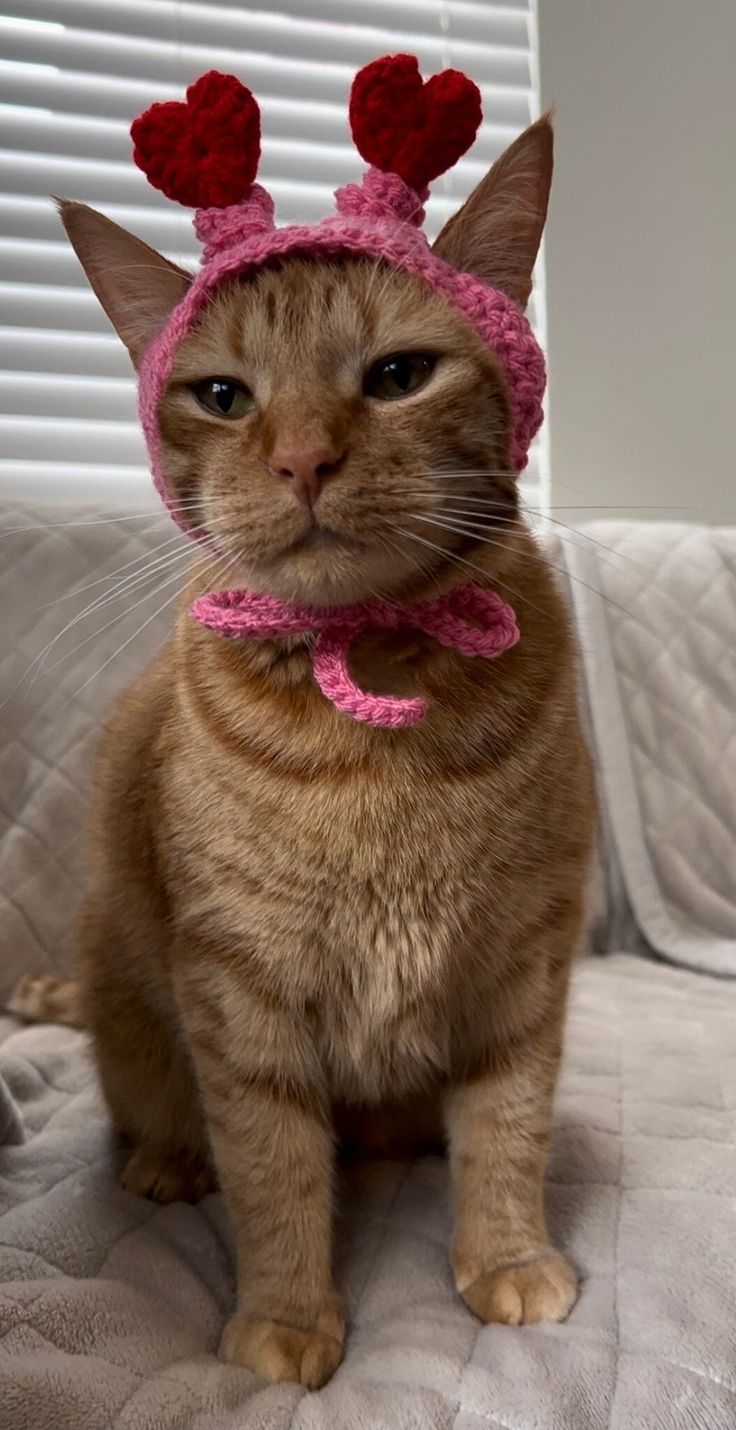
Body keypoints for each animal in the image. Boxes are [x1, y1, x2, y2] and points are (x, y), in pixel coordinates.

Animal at [14, 117, 597, 1389]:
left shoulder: (524, 963)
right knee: (160, 1114)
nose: (302, 460)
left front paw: (506, 1252)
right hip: (131, 1000)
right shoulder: (242, 991)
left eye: (397, 376)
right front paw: (286, 1314)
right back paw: (167, 1161)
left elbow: (509, 1122)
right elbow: (273, 1167)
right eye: (224, 396)